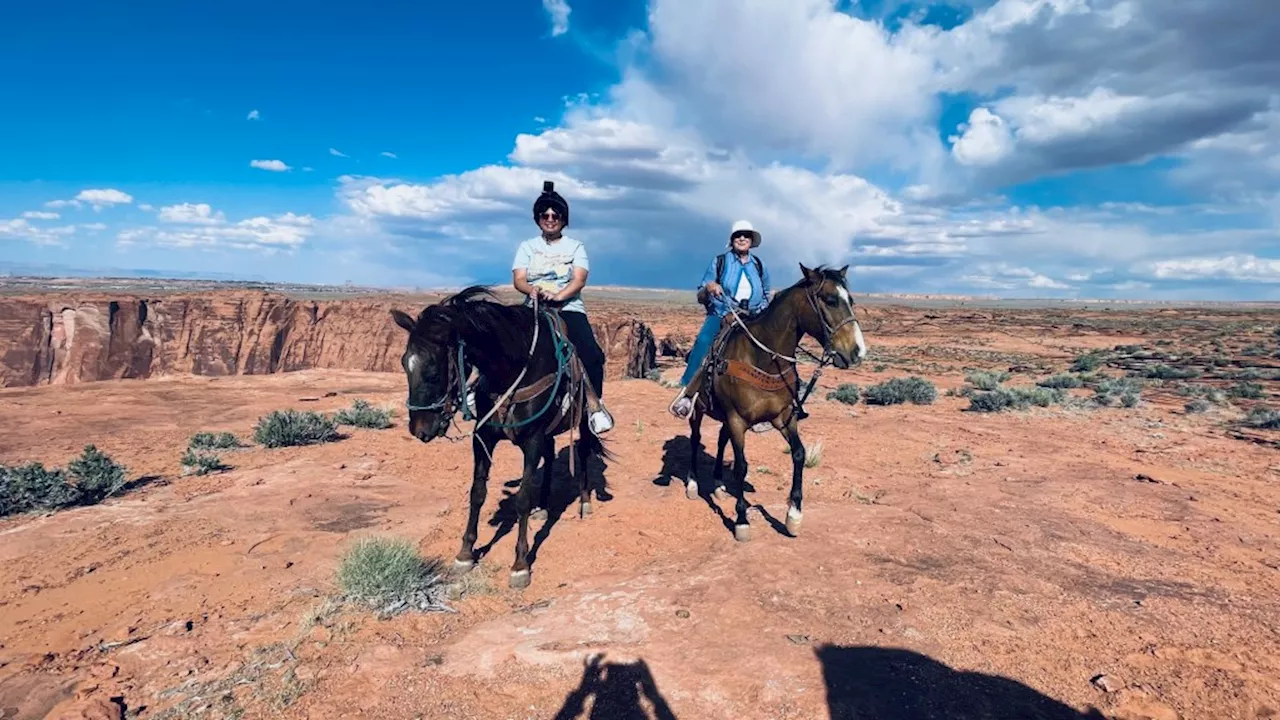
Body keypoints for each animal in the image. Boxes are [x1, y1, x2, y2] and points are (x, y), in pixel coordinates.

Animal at [386, 285, 611, 589]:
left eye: (433, 372)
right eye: (404, 364)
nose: (420, 429)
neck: (512, 369)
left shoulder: (532, 440)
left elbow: (522, 498)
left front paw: (520, 565)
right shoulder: (483, 438)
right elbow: (477, 492)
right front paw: (465, 554)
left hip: (584, 419)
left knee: (585, 452)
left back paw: (585, 502)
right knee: (551, 455)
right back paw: (544, 505)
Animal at [686, 262, 865, 538]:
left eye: (851, 301)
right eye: (830, 300)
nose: (857, 352)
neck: (763, 358)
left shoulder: (783, 417)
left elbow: (799, 453)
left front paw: (794, 515)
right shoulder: (737, 420)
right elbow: (741, 466)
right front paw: (741, 520)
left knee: (720, 440)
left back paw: (717, 484)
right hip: (698, 408)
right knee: (695, 438)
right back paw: (693, 484)